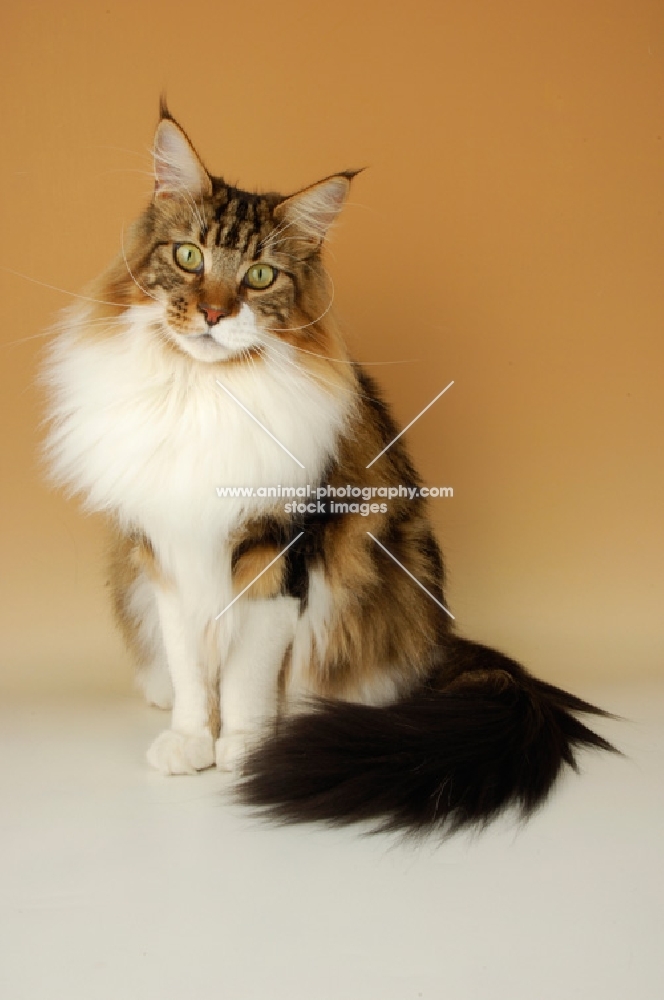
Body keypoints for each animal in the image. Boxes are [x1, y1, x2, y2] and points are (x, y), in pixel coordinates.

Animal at [41, 101, 616, 836]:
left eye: (260, 276)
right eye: (189, 257)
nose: (214, 312)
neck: (204, 393)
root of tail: (440, 645)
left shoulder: (277, 552)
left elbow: (247, 672)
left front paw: (244, 749)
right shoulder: (166, 550)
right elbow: (194, 667)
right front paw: (192, 741)